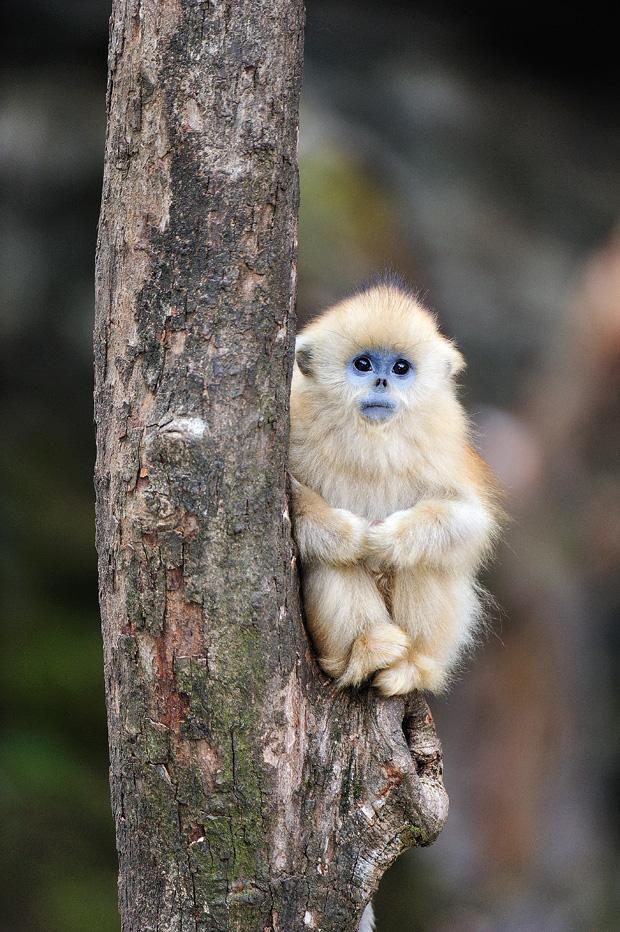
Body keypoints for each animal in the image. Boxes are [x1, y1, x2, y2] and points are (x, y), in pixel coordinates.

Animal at [290, 280, 498, 696]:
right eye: (363, 365)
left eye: (401, 368)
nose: (382, 381)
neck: (372, 438)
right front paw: (352, 536)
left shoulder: (444, 439)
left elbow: (469, 518)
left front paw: (387, 540)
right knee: (331, 560)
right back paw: (368, 652)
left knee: (427, 560)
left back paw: (409, 668)